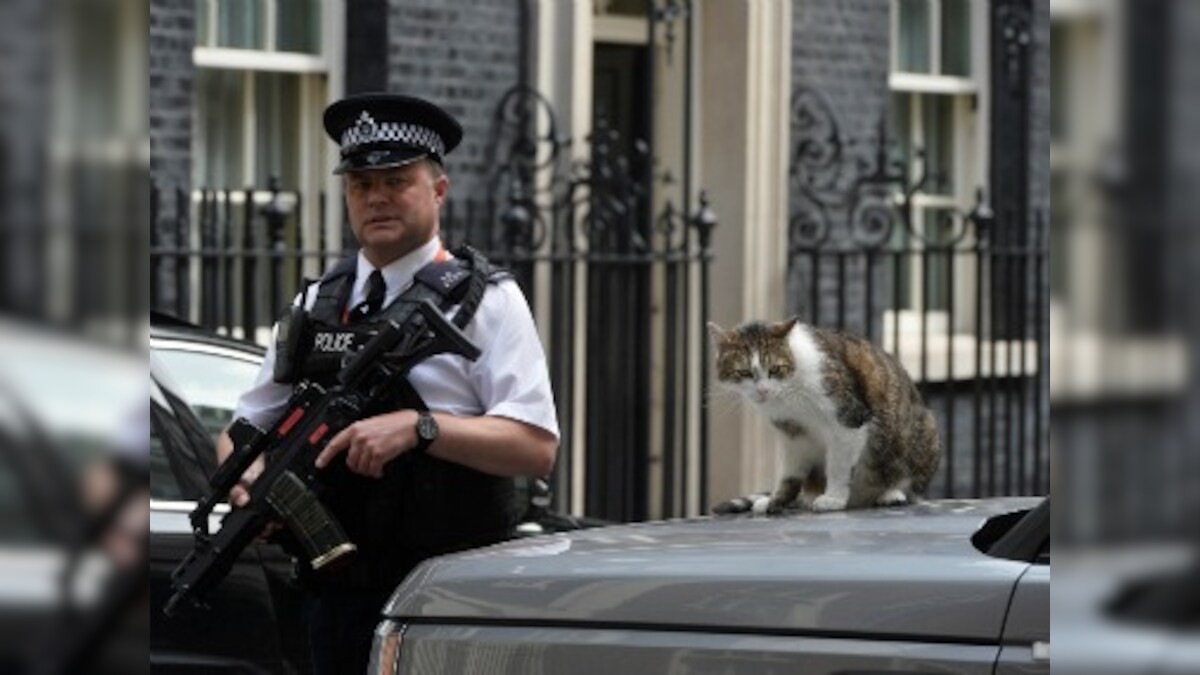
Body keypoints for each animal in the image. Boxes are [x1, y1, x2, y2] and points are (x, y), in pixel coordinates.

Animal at [710, 314, 936, 509]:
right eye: (744, 372)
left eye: (775, 369)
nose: (762, 390)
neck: (790, 391)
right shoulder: (793, 433)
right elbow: (789, 472)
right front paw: (776, 500)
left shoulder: (849, 419)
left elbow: (838, 465)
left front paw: (833, 498)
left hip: (922, 433)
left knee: (907, 482)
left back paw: (892, 493)